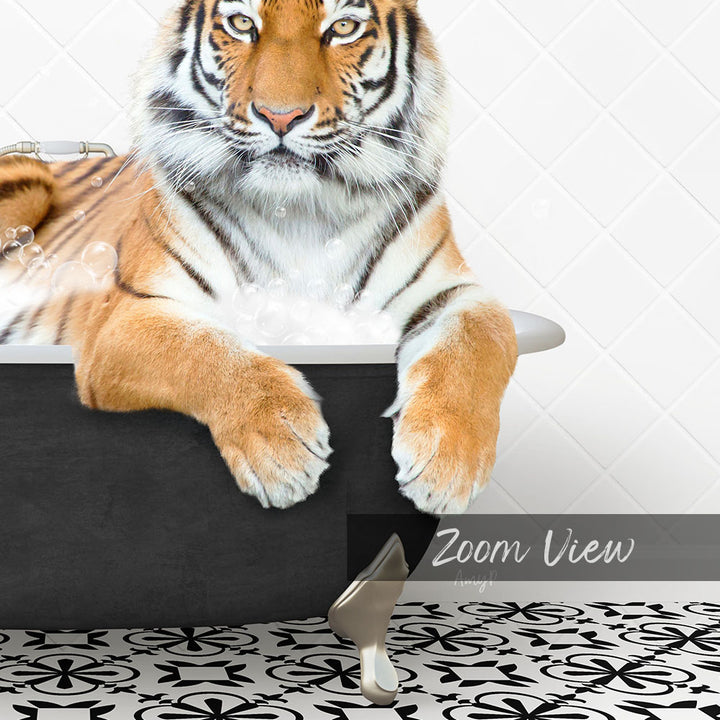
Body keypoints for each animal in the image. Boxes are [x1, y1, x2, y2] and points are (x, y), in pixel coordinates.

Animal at [0, 0, 517, 515]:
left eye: (343, 27)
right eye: (242, 23)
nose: (281, 116)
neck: (301, 213)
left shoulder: (453, 291)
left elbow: (479, 340)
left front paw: (446, 462)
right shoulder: (125, 316)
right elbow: (204, 349)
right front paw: (282, 450)